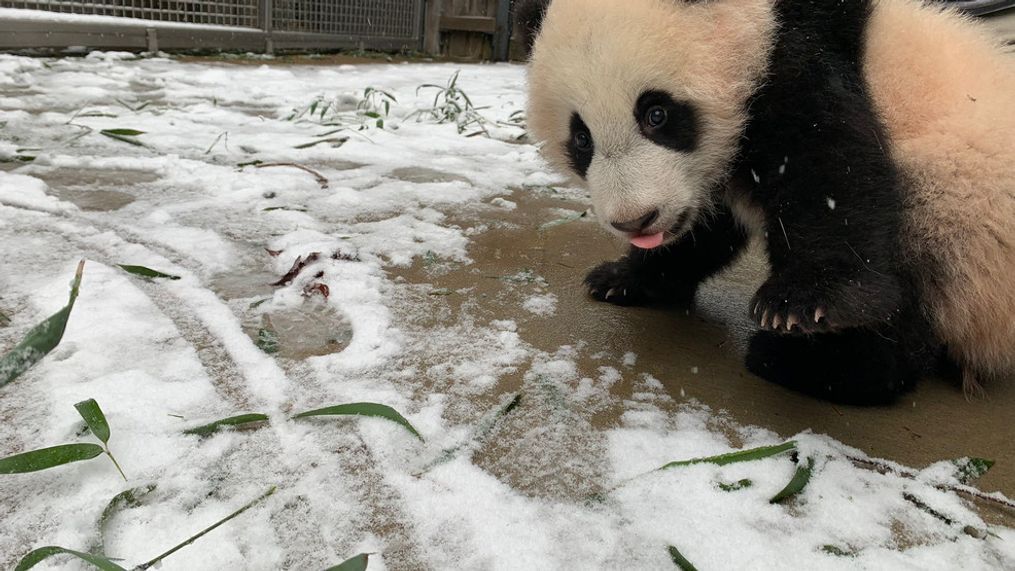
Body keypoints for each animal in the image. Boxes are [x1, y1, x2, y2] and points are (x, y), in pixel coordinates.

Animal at [515, 0, 1015, 405]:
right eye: (581, 139)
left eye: (656, 114)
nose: (637, 220)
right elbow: (706, 228)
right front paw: (624, 278)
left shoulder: (796, 57)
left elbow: (828, 167)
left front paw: (801, 304)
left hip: (960, 203)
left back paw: (817, 363)